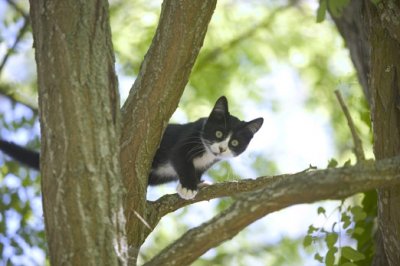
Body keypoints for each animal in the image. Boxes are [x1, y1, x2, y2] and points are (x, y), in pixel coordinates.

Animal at [0, 96, 264, 200]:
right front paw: (189, 186)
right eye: (218, 133)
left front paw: (199, 183)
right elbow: (180, 160)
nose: (221, 149)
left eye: (235, 143)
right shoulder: (186, 140)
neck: (206, 153)